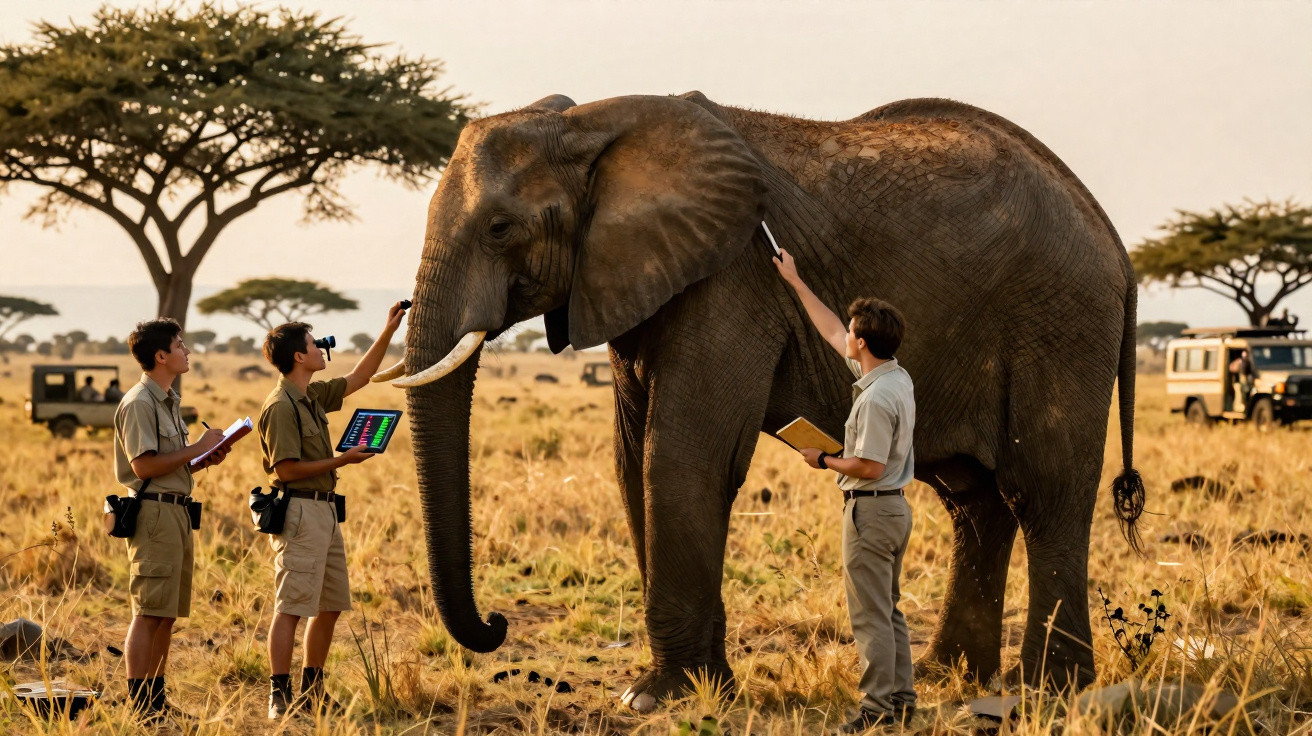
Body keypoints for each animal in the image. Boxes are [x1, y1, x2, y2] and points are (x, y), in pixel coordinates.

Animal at [376, 91, 1146, 708]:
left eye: (500, 228)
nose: (498, 623)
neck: (591, 125)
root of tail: (1113, 237)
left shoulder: (730, 279)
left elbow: (681, 457)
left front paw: (658, 696)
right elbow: (632, 463)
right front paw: (700, 686)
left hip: (1060, 320)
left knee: (1042, 491)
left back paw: (1048, 688)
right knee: (972, 499)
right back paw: (948, 675)